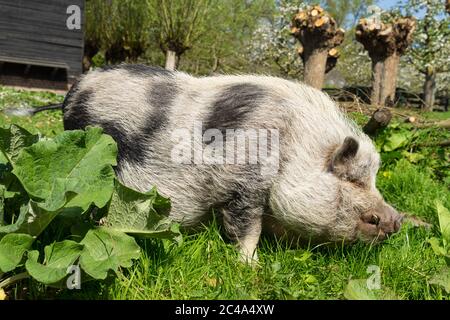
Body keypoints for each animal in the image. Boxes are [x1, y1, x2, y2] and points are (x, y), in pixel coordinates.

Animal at [25, 63, 404, 262]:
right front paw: (251, 266)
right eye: (352, 179)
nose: (395, 220)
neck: (293, 146)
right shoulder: (243, 183)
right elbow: (246, 227)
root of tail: (70, 96)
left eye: (372, 179)